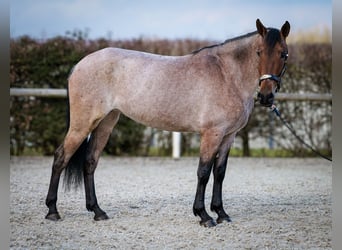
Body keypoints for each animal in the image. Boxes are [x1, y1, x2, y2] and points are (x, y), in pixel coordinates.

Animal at [45, 19, 290, 227]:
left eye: (284, 54)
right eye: (259, 52)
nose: (266, 96)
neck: (226, 74)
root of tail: (79, 65)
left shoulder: (229, 136)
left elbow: (219, 173)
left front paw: (221, 213)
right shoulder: (212, 134)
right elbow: (203, 172)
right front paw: (204, 216)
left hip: (106, 123)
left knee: (90, 162)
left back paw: (97, 211)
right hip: (82, 124)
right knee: (60, 158)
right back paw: (52, 211)